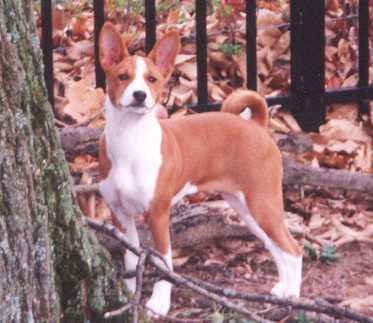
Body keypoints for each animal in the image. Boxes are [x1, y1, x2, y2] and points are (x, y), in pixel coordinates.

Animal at [97, 23, 300, 318]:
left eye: (152, 79)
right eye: (123, 76)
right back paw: (283, 289)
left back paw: (294, 297)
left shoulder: (158, 214)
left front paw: (159, 303)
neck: (129, 141)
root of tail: (256, 125)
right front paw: (127, 294)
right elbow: (131, 261)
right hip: (246, 208)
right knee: (276, 246)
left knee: (293, 249)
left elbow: (165, 263)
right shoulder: (119, 214)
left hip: (263, 203)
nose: (139, 95)